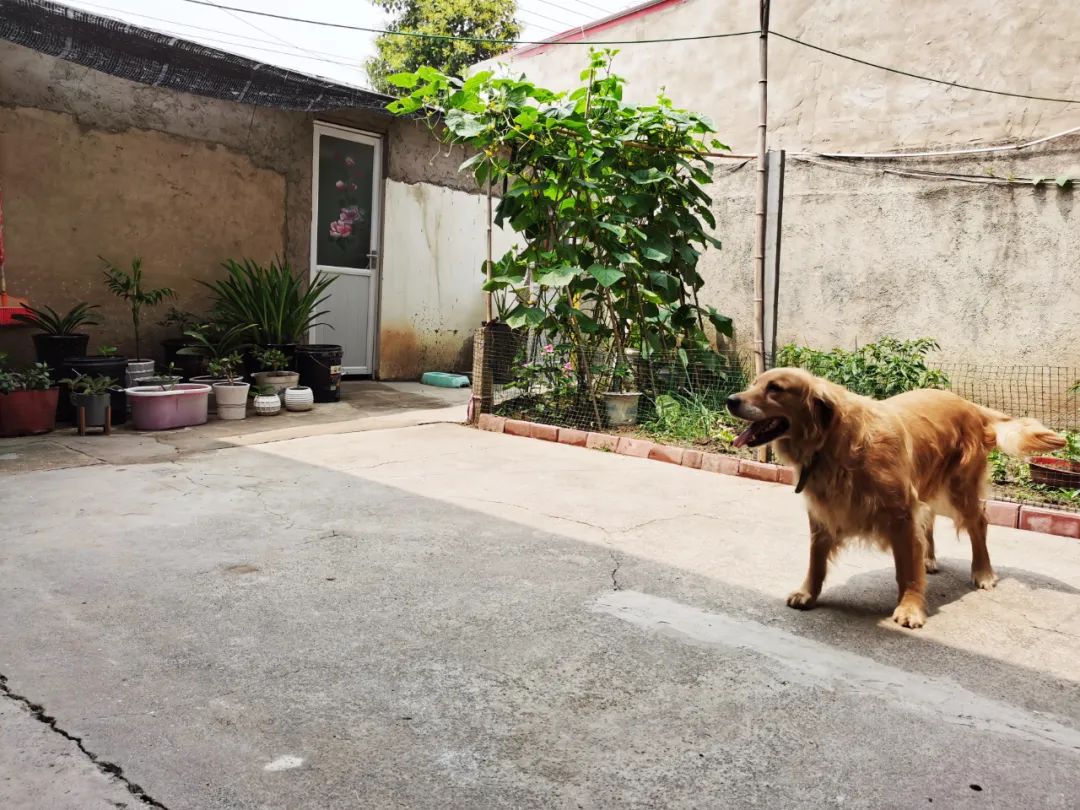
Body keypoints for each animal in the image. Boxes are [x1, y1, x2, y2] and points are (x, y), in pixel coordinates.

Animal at [725, 371, 1062, 630]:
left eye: (775, 388)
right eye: (755, 383)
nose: (731, 399)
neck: (832, 443)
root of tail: (970, 405)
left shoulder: (900, 514)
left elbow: (905, 571)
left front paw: (910, 607)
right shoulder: (823, 513)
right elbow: (816, 561)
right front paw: (809, 593)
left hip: (957, 489)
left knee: (978, 523)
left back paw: (983, 572)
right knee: (930, 520)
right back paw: (929, 558)